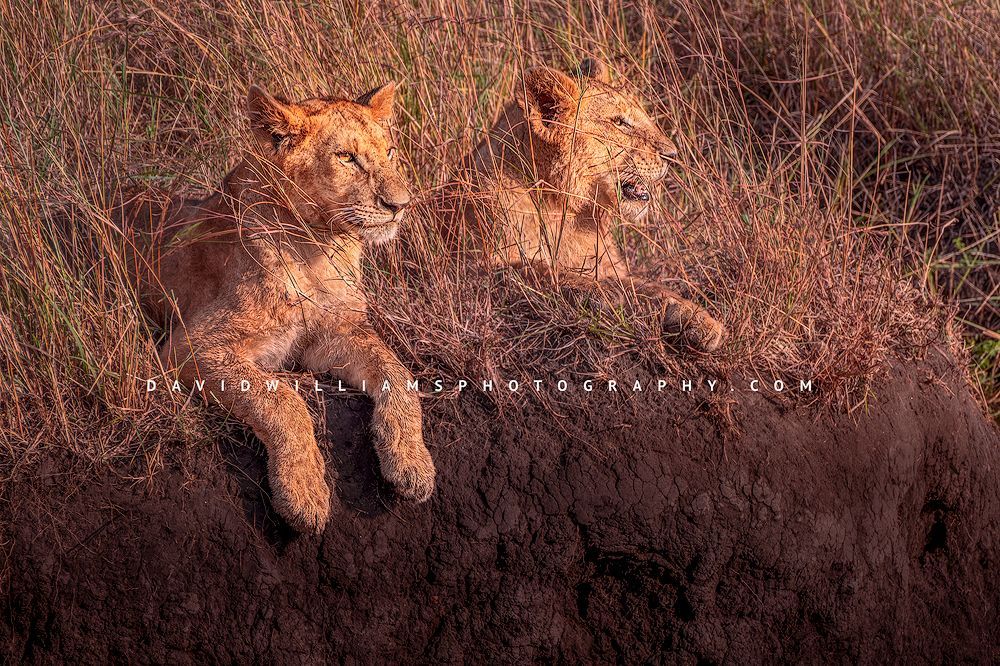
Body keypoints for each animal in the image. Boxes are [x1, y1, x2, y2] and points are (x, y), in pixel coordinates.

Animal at [126, 82, 435, 533]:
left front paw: (412, 463)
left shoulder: (334, 333)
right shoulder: (191, 347)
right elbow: (283, 401)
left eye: (391, 151)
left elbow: (398, 374)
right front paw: (303, 492)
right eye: (347, 157)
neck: (320, 247)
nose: (401, 204)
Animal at [441, 58, 725, 351]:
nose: (673, 155)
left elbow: (651, 288)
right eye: (619, 122)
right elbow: (536, 271)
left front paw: (700, 319)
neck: (563, 209)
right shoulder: (467, 272)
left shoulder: (609, 266)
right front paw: (599, 291)